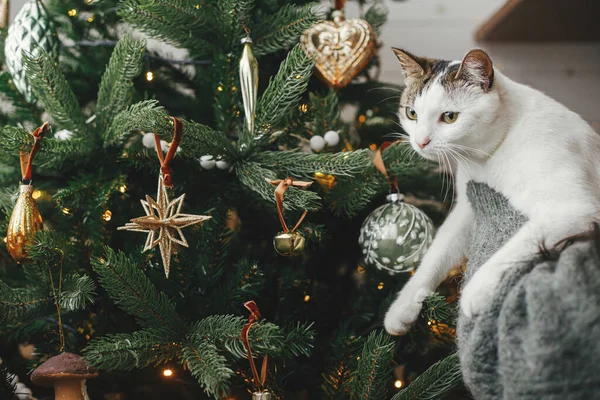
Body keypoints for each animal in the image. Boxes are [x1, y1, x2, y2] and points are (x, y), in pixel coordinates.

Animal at [384, 47, 600, 336]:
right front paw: (402, 308)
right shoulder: (466, 209)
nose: (420, 142)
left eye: (449, 117)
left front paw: (475, 292)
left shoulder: (574, 208)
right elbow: (436, 255)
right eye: (411, 114)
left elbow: (519, 244)